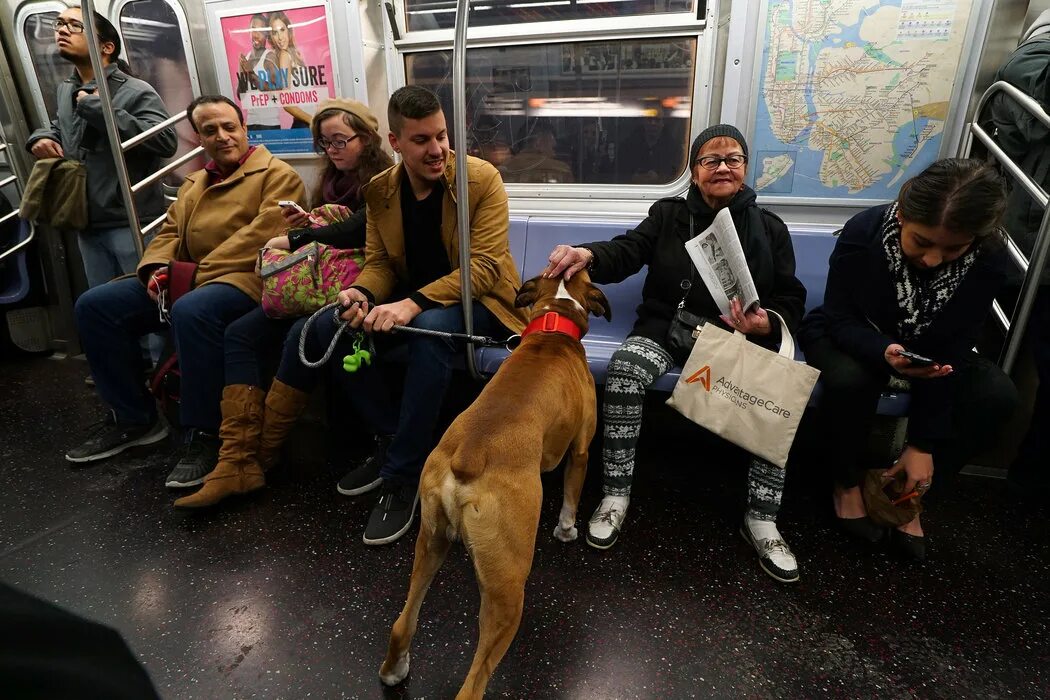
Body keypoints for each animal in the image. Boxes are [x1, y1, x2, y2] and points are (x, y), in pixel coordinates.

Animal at [380, 270, 609, 696]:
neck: (554, 325)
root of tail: (469, 455)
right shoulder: (581, 450)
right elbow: (571, 497)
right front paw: (566, 531)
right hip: (508, 588)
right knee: (474, 681)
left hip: (430, 542)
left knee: (403, 621)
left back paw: (394, 670)